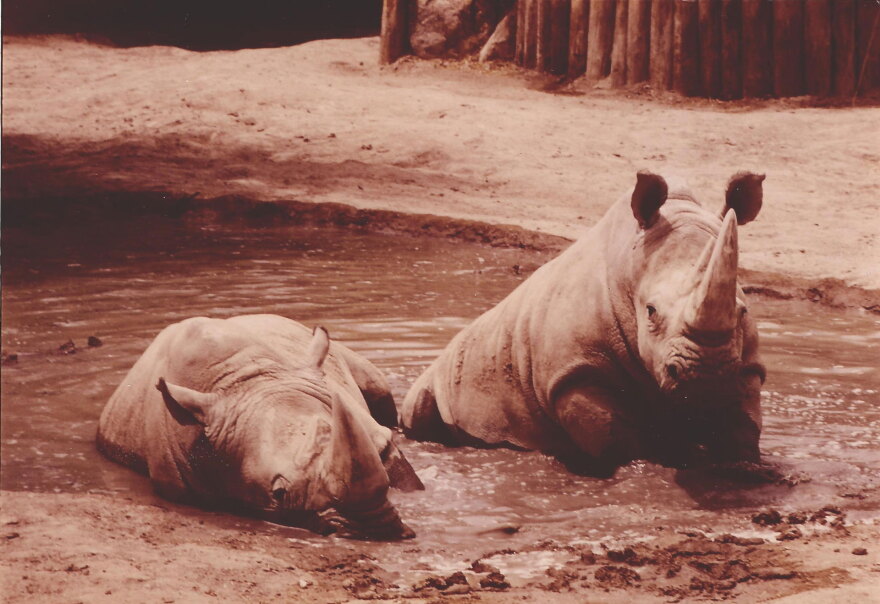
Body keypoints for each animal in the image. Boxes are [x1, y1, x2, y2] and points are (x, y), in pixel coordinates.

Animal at [402, 171, 767, 475]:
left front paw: (744, 468)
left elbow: (744, 424)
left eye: (742, 312)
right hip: (442, 373)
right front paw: (641, 469)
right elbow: (611, 435)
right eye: (650, 311)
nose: (705, 378)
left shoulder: (745, 367)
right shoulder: (573, 373)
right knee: (418, 408)